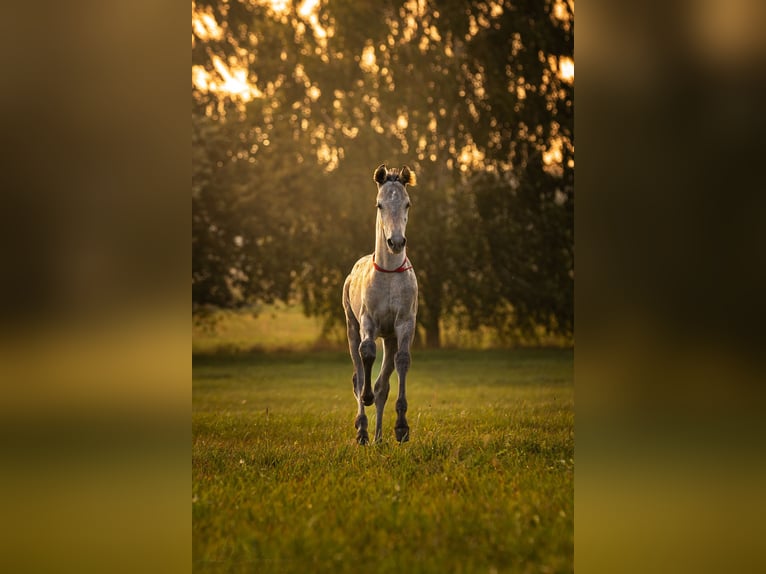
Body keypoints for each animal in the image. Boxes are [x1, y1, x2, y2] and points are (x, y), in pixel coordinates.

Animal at [342, 164, 418, 445]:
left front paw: (402, 427)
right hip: (351, 326)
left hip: (390, 337)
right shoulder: (368, 321)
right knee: (357, 374)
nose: (395, 242)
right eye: (379, 204)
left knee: (382, 385)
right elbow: (367, 353)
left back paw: (378, 437)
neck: (389, 273)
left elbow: (402, 361)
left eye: (407, 204)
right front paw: (366, 399)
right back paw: (363, 430)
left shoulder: (404, 324)